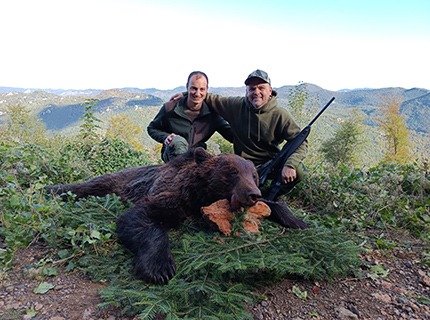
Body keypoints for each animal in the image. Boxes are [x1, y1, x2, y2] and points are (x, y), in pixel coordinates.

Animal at [45, 147, 308, 282]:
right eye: (232, 172)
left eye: (253, 175)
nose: (253, 194)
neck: (200, 195)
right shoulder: (173, 194)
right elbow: (141, 217)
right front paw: (160, 268)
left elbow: (274, 204)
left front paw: (298, 221)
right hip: (116, 181)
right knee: (88, 185)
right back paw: (53, 188)